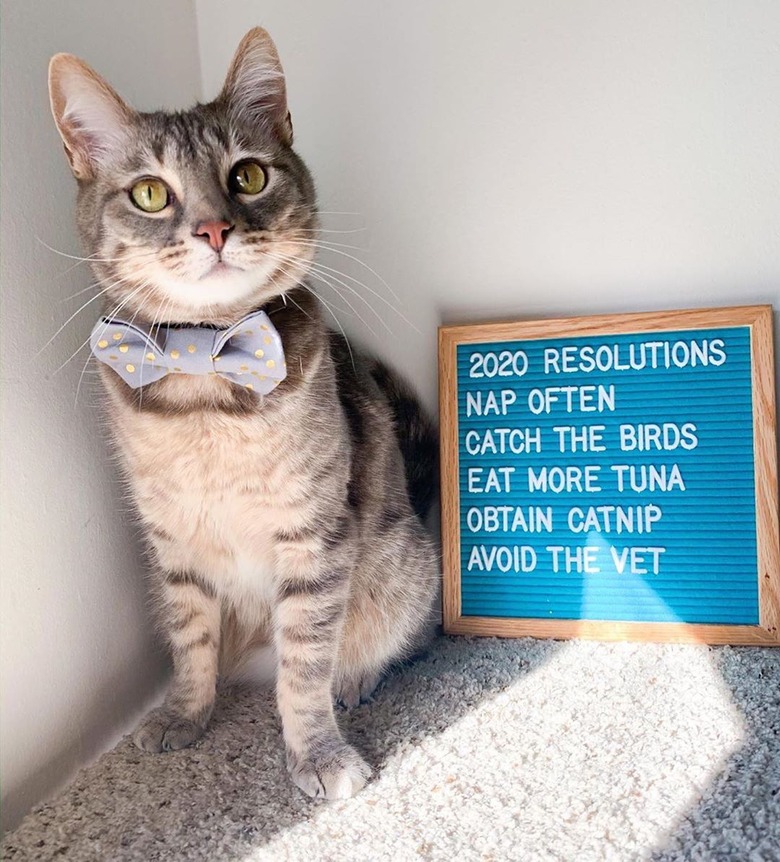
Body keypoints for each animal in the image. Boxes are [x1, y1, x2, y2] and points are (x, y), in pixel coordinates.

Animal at [47, 27, 438, 804]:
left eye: (249, 177)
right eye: (150, 193)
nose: (214, 229)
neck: (206, 382)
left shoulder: (314, 540)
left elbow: (303, 668)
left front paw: (317, 752)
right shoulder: (173, 543)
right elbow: (191, 641)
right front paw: (185, 714)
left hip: (407, 570)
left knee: (400, 640)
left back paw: (358, 678)